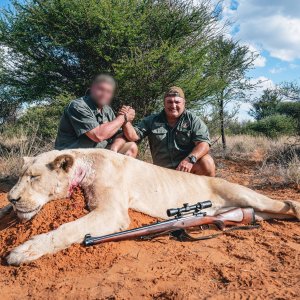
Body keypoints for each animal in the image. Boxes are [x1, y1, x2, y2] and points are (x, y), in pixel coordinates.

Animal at [2, 148, 300, 264]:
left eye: (34, 177)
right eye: (20, 176)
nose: (13, 198)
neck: (83, 164)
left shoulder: (113, 212)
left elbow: (67, 228)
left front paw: (23, 251)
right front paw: (7, 210)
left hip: (246, 195)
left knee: (283, 203)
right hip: (254, 209)